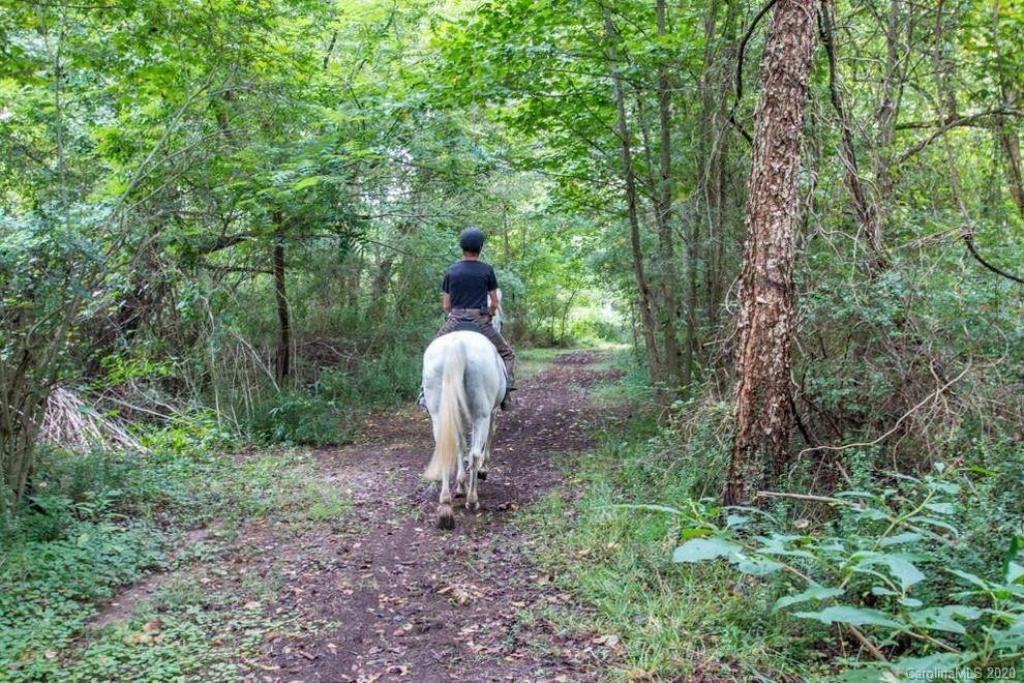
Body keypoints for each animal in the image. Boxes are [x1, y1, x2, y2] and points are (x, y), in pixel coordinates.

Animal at [420, 300, 506, 530]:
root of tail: (456, 344)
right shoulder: (491, 412)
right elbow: (486, 441)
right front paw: (483, 471)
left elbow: (459, 445)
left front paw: (459, 485)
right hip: (481, 414)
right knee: (474, 453)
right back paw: (472, 499)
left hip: (438, 413)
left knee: (446, 446)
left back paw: (446, 502)